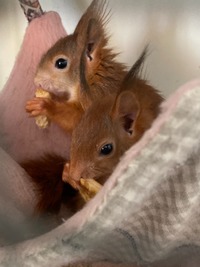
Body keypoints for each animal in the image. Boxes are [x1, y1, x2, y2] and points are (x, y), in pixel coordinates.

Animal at [25, 0, 125, 133]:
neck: (92, 80)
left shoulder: (99, 98)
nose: (37, 82)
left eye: (61, 63)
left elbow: (77, 121)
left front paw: (45, 105)